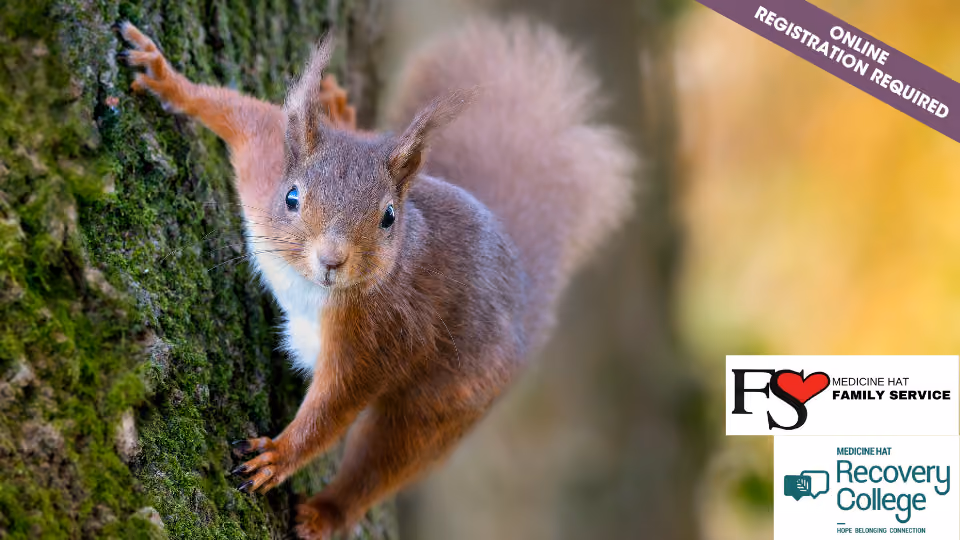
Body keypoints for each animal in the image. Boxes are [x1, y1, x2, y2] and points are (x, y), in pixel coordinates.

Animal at [117, 18, 634, 539]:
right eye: (291, 197)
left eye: (388, 217)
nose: (331, 260)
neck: (308, 283)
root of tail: (523, 298)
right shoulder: (262, 160)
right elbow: (238, 111)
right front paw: (164, 77)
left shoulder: (381, 333)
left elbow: (335, 406)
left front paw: (279, 457)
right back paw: (342, 113)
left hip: (446, 402)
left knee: (383, 462)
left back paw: (324, 515)